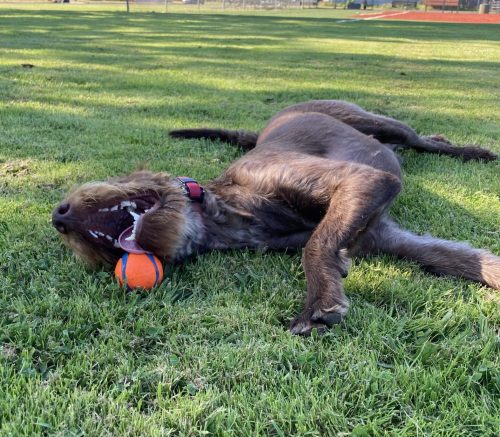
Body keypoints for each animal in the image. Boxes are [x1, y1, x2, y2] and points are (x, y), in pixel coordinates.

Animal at [52, 100, 498, 336]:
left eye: (117, 179)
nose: (59, 216)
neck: (229, 211)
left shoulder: (363, 182)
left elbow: (316, 246)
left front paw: (319, 300)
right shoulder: (386, 237)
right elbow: (464, 260)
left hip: (375, 120)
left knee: (420, 139)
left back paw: (470, 151)